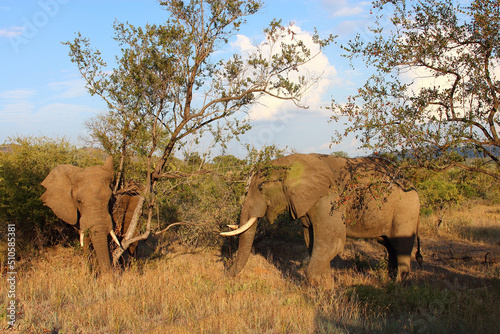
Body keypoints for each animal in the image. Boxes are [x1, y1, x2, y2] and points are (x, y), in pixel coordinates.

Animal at [223, 154, 422, 284]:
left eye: (261, 188)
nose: (228, 275)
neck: (293, 162)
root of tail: (411, 183)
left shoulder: (329, 200)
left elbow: (332, 242)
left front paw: (316, 289)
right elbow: (311, 241)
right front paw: (326, 284)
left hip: (406, 211)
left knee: (401, 247)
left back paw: (397, 287)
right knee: (390, 248)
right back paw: (389, 283)